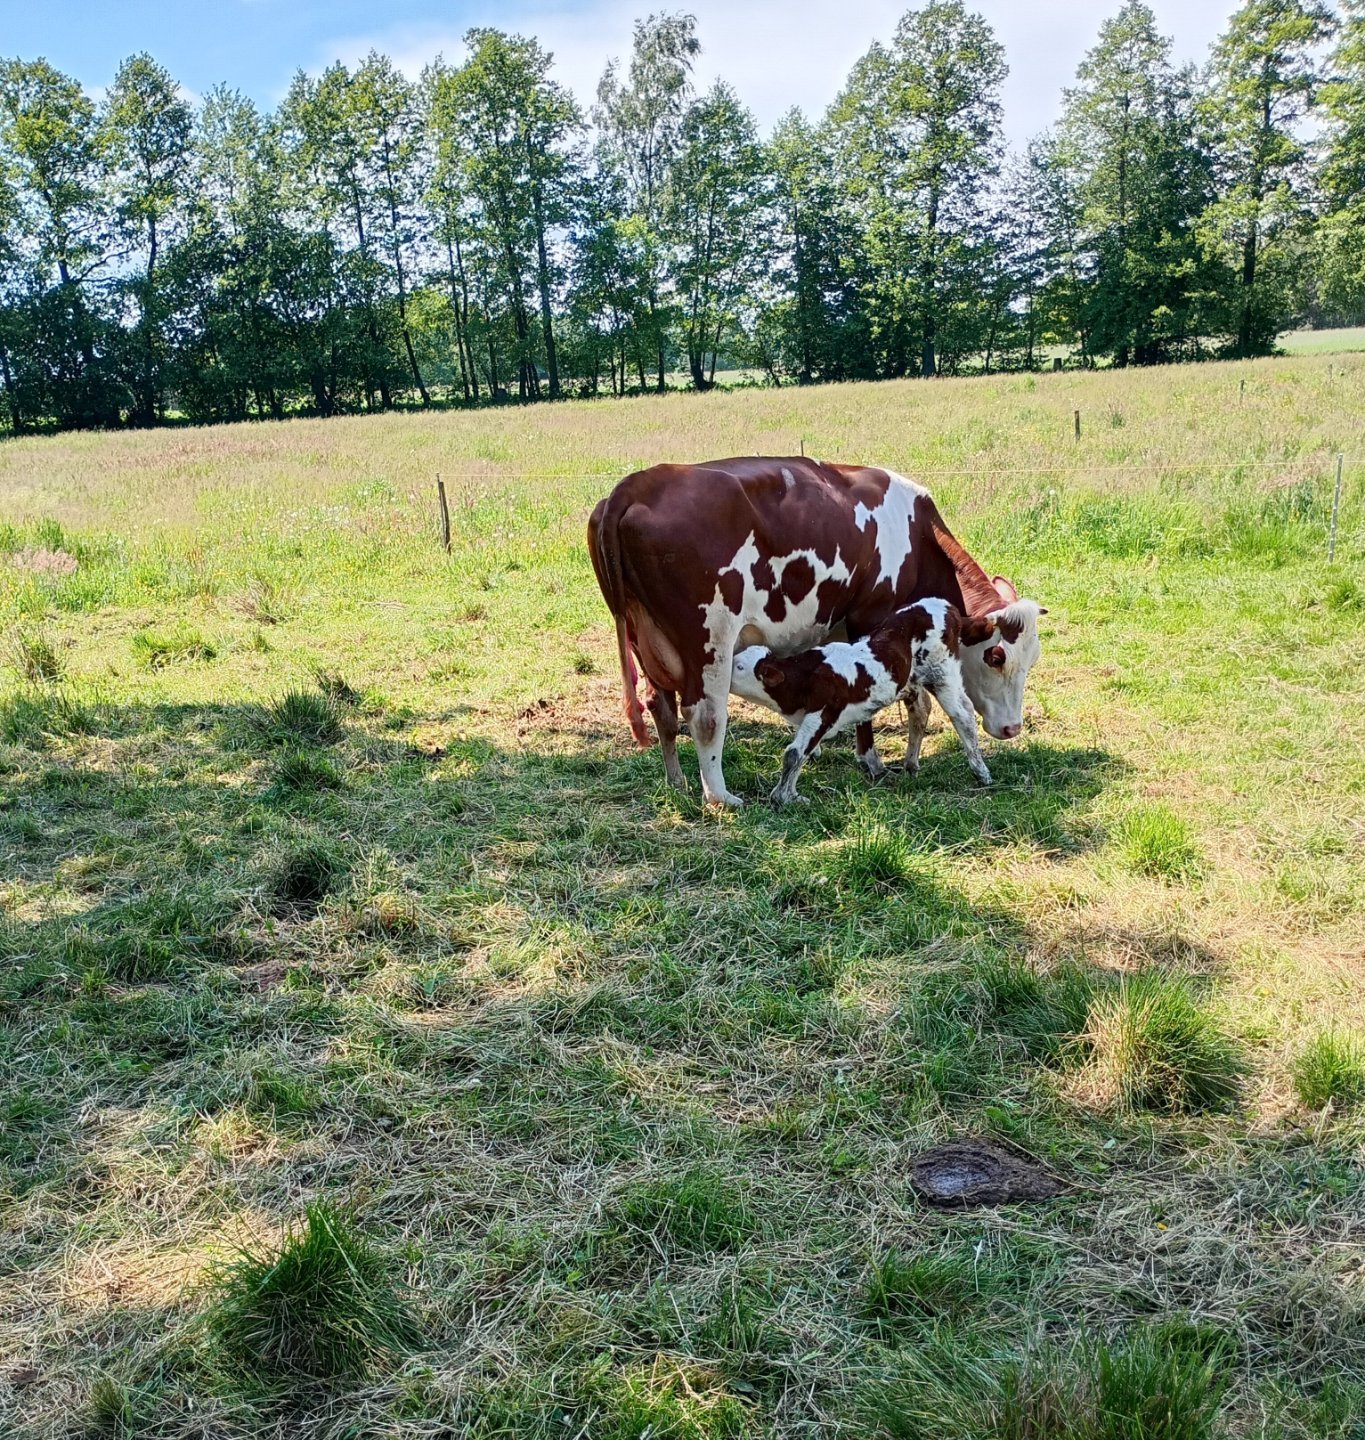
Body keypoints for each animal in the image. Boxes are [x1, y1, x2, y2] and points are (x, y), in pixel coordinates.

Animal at [731, 597, 993, 806]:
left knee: (963, 714)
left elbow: (794, 753)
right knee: (920, 710)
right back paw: (910, 765)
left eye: (740, 666)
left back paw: (981, 772)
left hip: (943, 672)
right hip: (909, 680)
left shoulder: (825, 711)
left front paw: (785, 797)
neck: (803, 676)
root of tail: (948, 607)